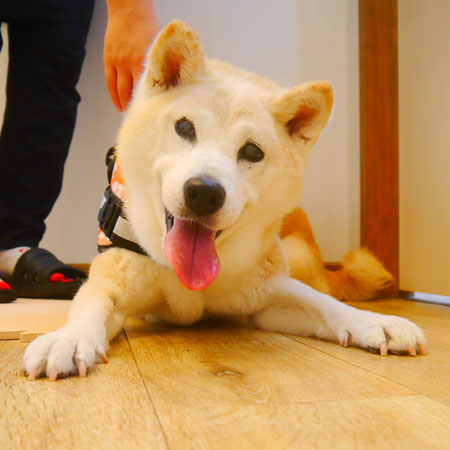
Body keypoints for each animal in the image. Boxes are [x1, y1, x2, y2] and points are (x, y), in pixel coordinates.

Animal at [23, 20, 425, 380]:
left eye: (252, 151)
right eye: (185, 127)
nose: (204, 192)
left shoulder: (269, 291)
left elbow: (325, 305)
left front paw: (374, 322)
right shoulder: (110, 285)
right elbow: (87, 308)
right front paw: (68, 339)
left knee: (328, 287)